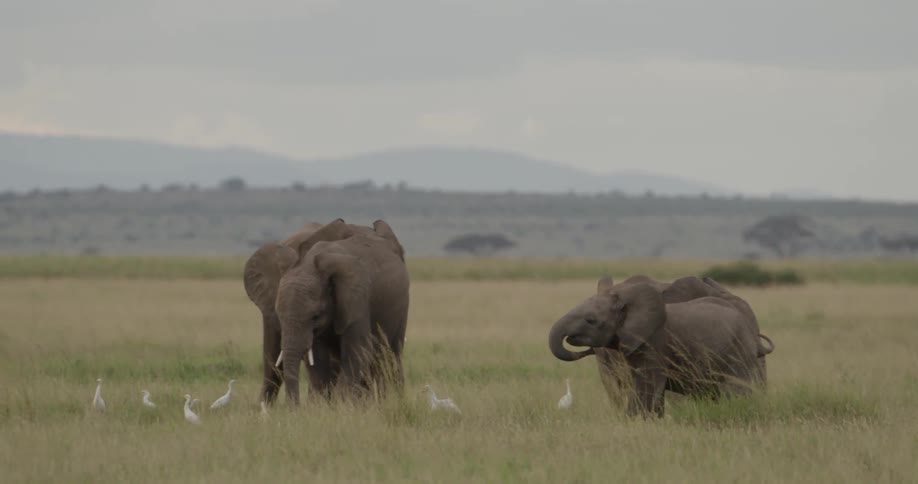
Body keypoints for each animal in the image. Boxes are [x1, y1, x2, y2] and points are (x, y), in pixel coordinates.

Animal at [243, 219, 407, 405]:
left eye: (315, 316)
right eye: (279, 315)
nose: (295, 408)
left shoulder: (359, 300)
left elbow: (358, 352)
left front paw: (342, 405)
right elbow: (318, 359)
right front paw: (325, 406)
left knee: (389, 355)